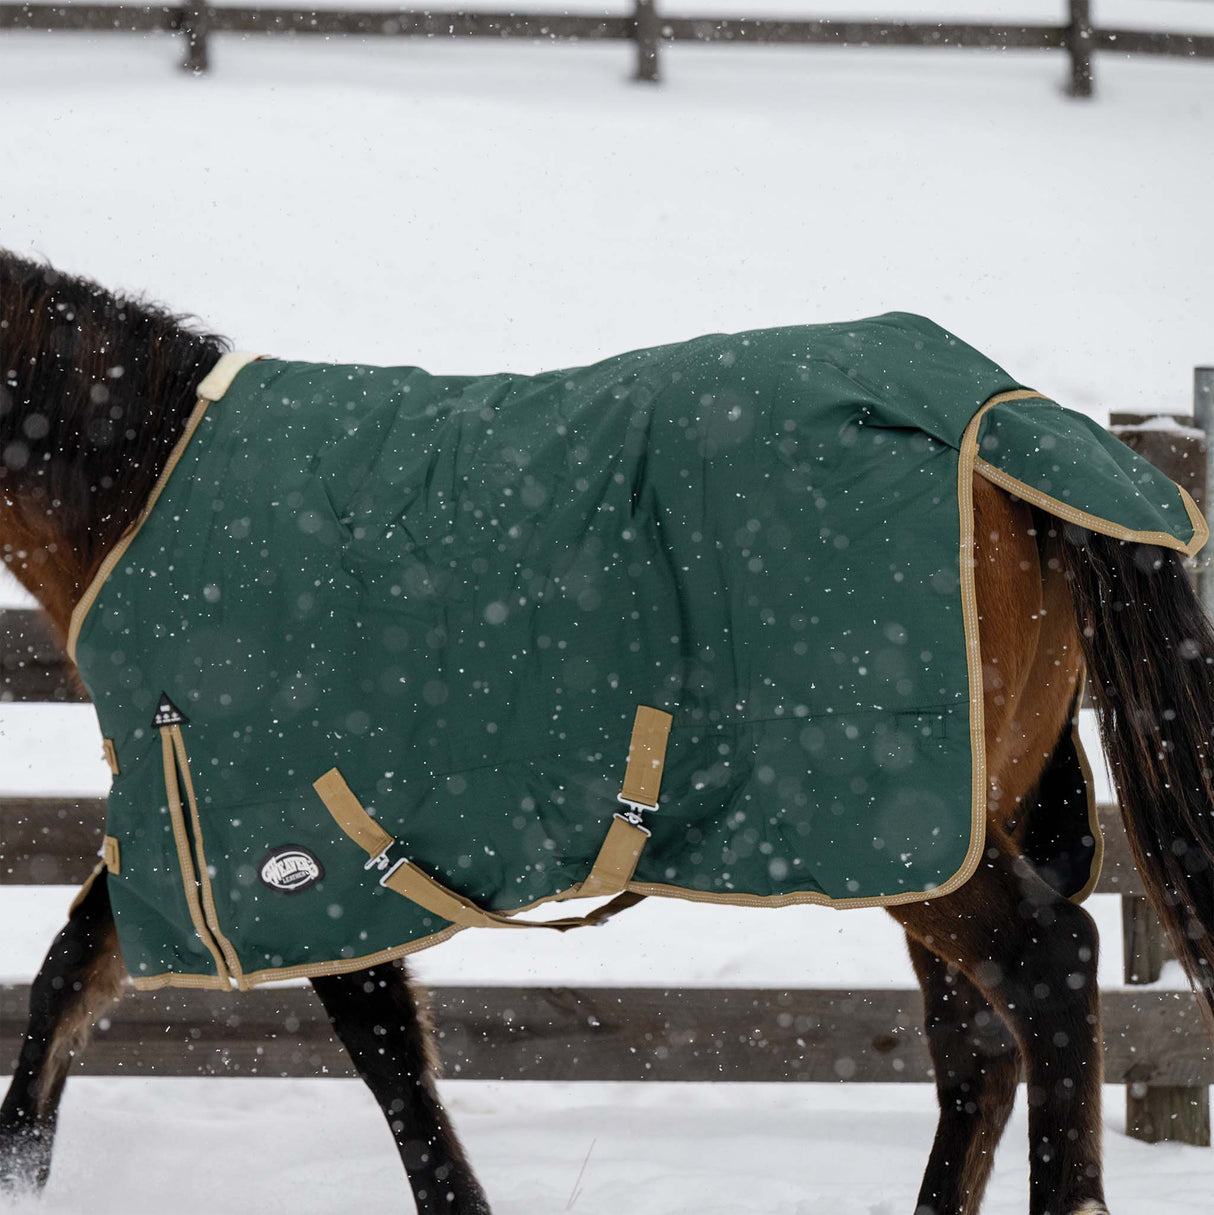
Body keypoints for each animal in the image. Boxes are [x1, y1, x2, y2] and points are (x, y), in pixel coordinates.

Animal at [2, 250, 1214, 1215]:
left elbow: (386, 1055)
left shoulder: (292, 844)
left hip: (904, 826)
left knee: (1050, 968)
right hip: (951, 828)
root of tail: (1001, 423)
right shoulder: (206, 837)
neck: (145, 492)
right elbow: (67, 974)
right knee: (975, 1048)